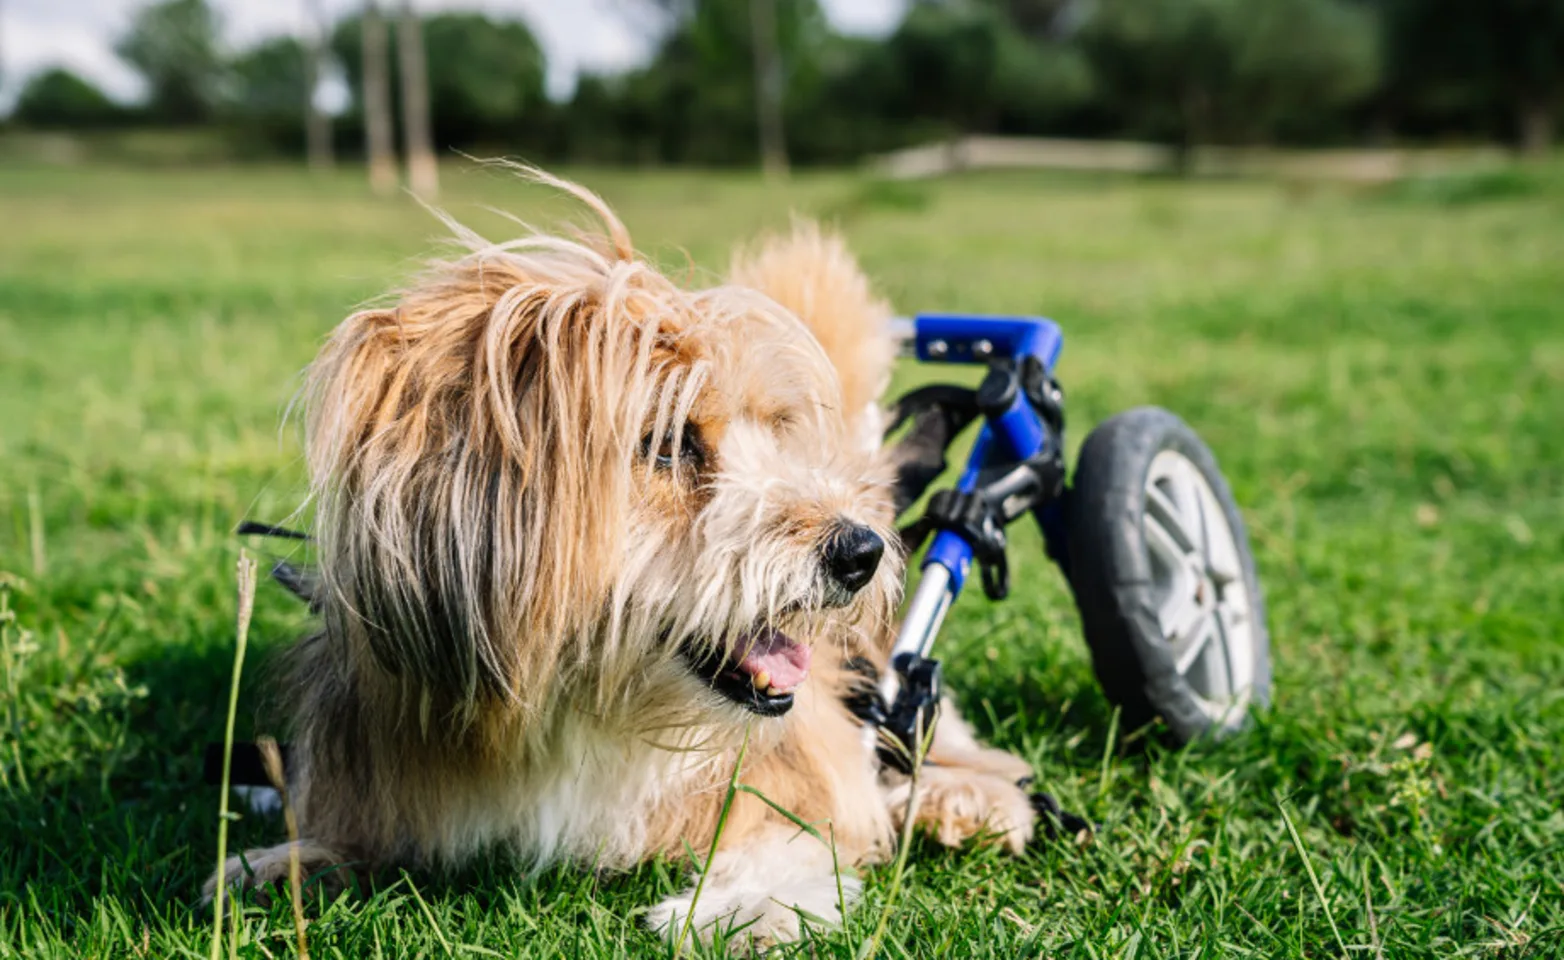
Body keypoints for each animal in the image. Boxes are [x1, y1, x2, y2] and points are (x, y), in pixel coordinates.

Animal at [208, 171, 1038, 950]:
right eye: (667, 444)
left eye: (777, 431)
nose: (862, 551)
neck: (587, 706)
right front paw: (288, 858)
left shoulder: (807, 751)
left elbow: (808, 822)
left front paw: (745, 904)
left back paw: (968, 799)